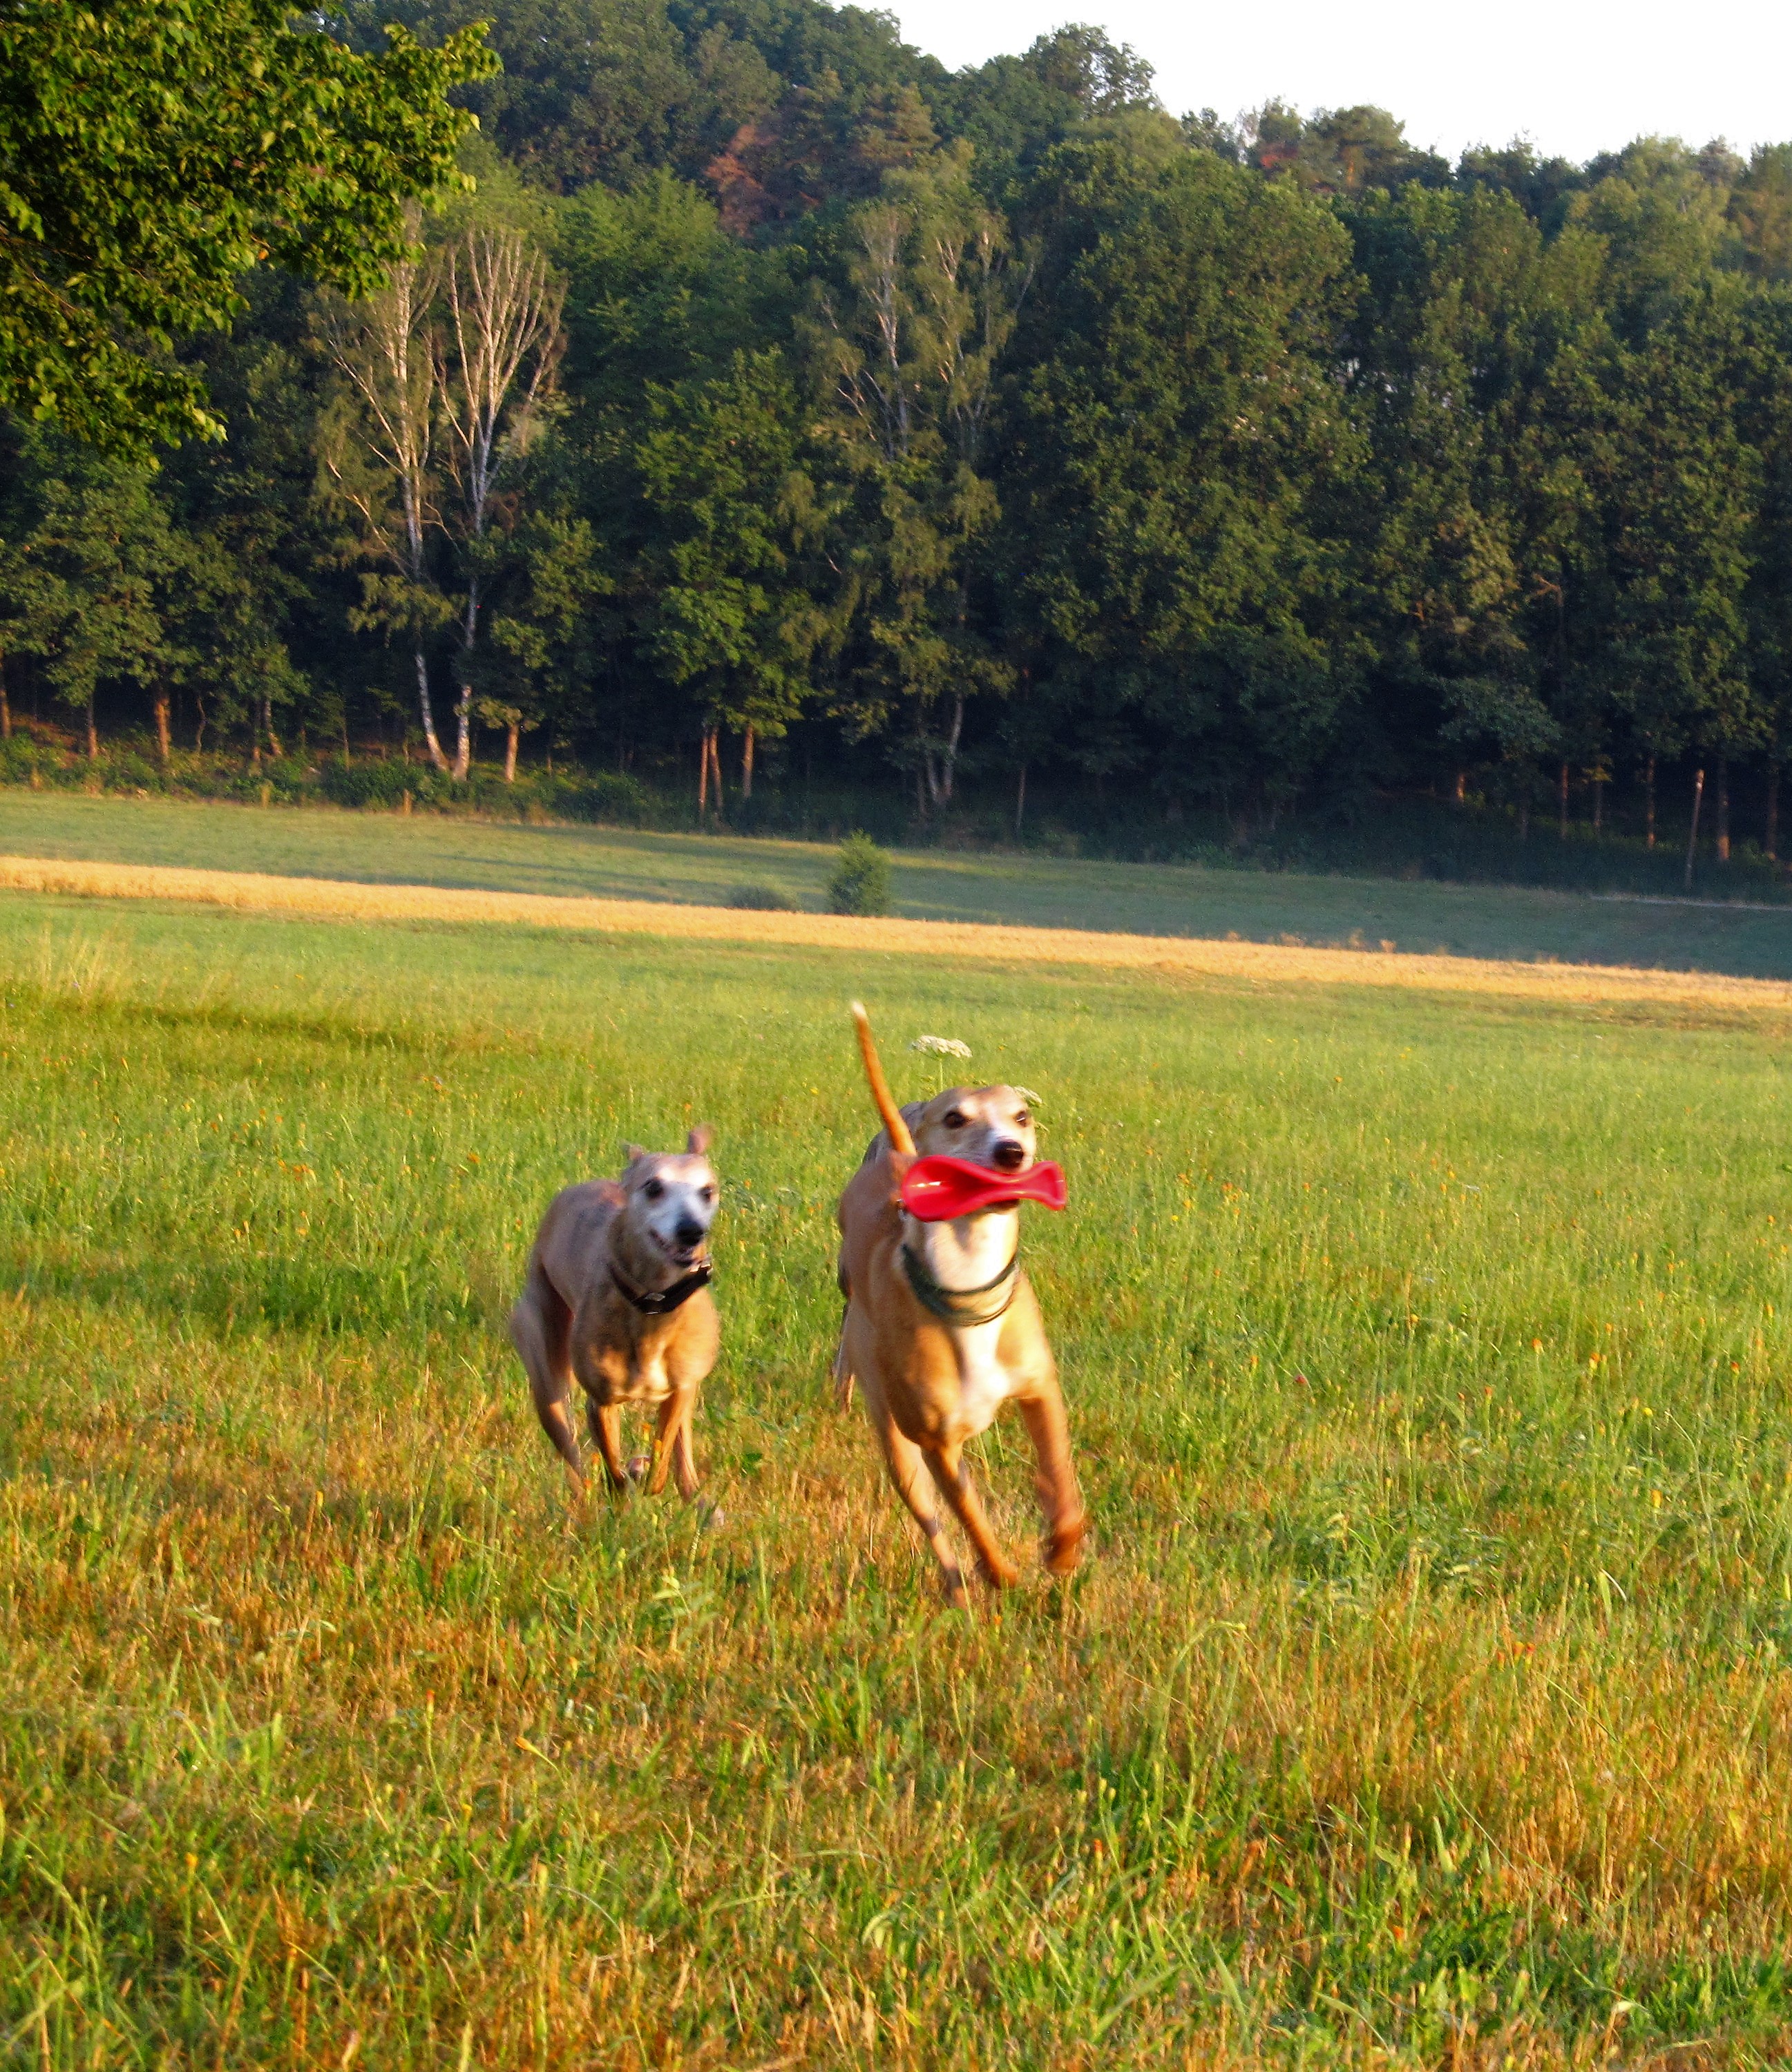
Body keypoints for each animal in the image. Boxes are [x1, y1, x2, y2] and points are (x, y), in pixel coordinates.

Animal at [507, 1127, 716, 1500]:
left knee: (683, 1457)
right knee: (573, 1459)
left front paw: (646, 1476)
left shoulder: (680, 1390)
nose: (691, 1231)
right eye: (653, 1187)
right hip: (547, 1380)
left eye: (707, 1191)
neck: (653, 1305)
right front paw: (626, 1487)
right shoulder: (601, 1402)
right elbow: (614, 1474)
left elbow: (661, 1459)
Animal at [832, 1003, 1085, 1600]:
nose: (1011, 1152)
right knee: (932, 1522)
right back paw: (956, 1585)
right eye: (955, 1118)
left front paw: (1062, 1550)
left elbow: (1059, 1475)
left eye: (1021, 1116)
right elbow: (970, 1518)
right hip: (897, 1446)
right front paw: (1002, 1574)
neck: (968, 1290)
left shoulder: (1040, 1387)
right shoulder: (936, 1442)